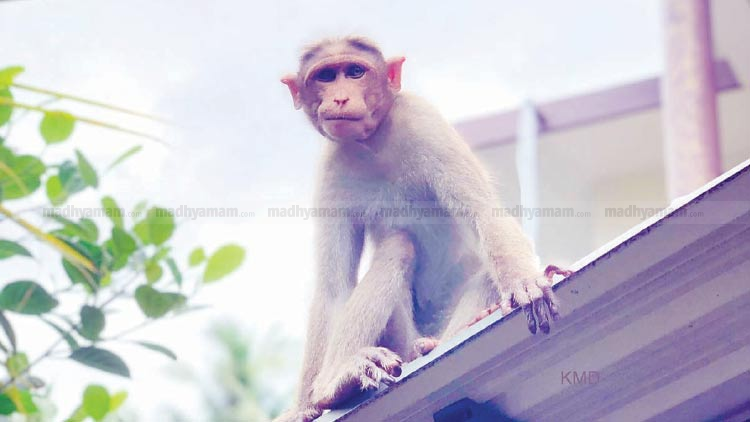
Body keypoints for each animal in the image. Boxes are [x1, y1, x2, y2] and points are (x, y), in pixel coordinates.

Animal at [275, 37, 571, 422]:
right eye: (325, 76)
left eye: (354, 71)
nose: (339, 98)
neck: (374, 140)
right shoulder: (331, 165)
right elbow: (333, 287)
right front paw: (306, 405)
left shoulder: (422, 119)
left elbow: (483, 212)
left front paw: (526, 284)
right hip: (401, 338)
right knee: (399, 244)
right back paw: (338, 383)